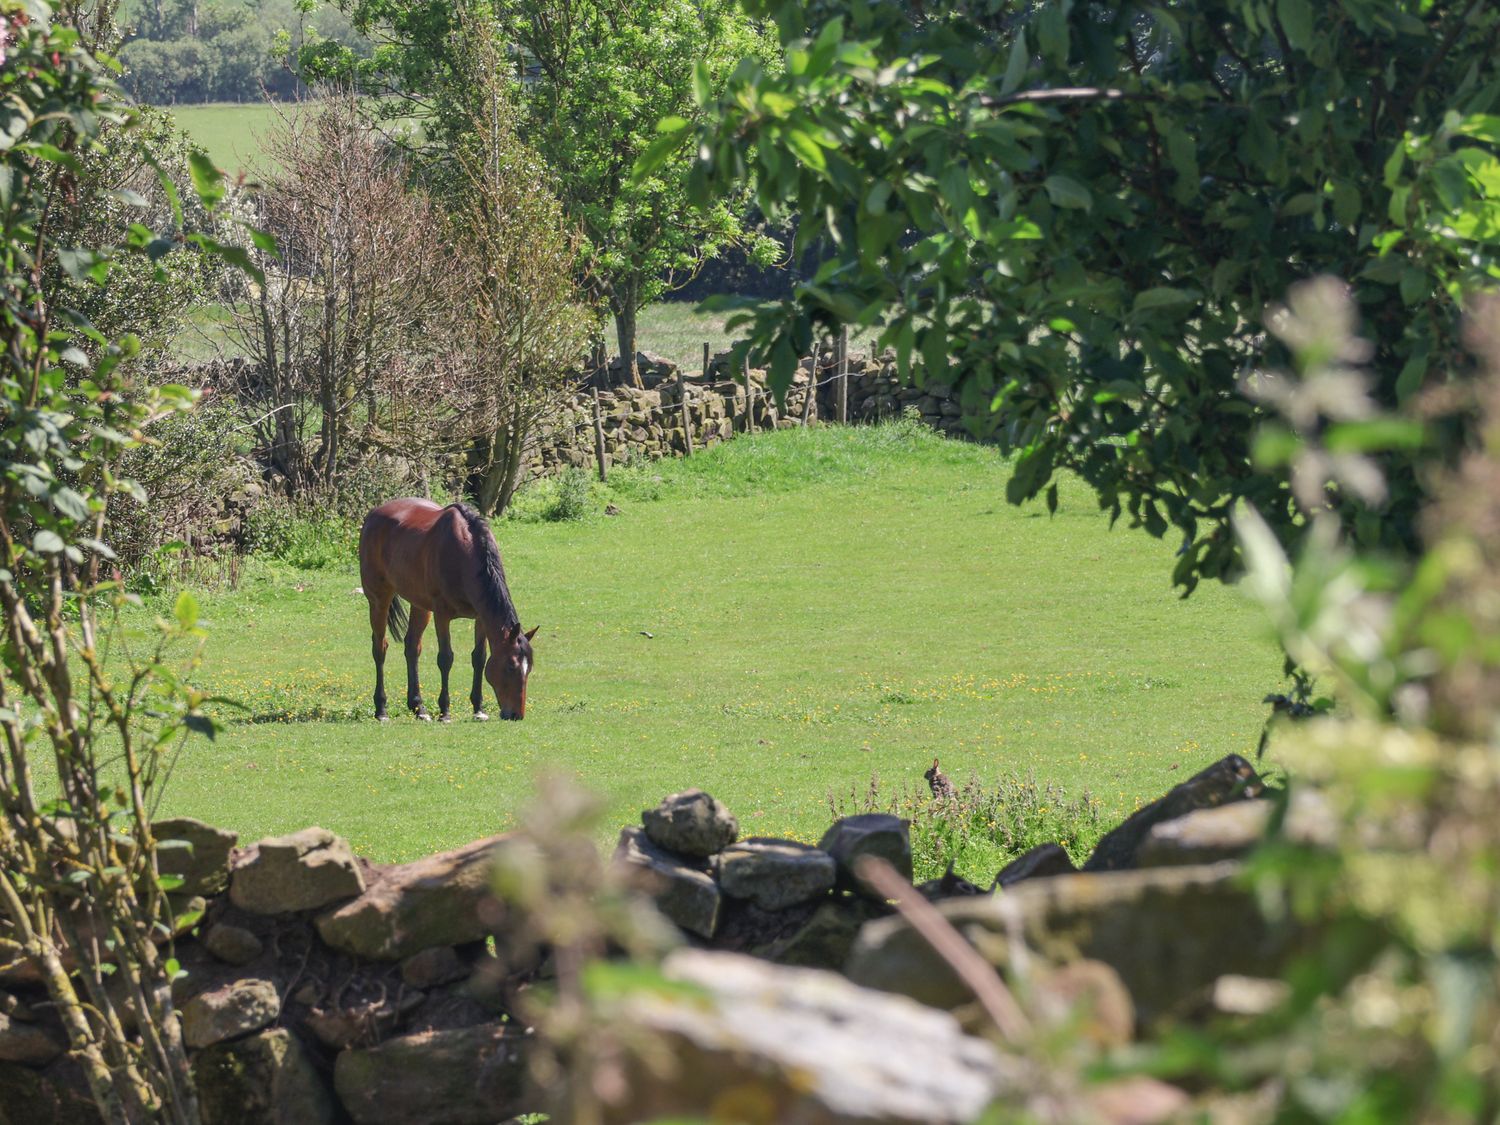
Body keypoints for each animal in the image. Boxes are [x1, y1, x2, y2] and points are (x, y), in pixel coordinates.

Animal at [358, 501, 540, 723]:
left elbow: (479, 658)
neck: (464, 554)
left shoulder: (480, 618)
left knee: (412, 648)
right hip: (379, 600)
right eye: (511, 666)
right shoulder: (442, 614)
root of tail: (372, 515)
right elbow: (445, 658)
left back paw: (419, 708)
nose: (516, 715)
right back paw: (381, 710)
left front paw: (478, 709)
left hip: (420, 606)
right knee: (380, 648)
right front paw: (445, 712)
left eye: (529, 668)